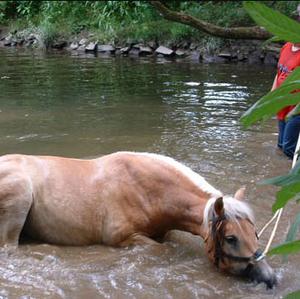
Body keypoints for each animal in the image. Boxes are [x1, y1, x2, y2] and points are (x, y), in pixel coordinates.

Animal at [0, 152, 276, 288]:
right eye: (231, 238)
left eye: (255, 233)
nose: (270, 278)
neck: (146, 190)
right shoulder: (125, 239)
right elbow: (163, 251)